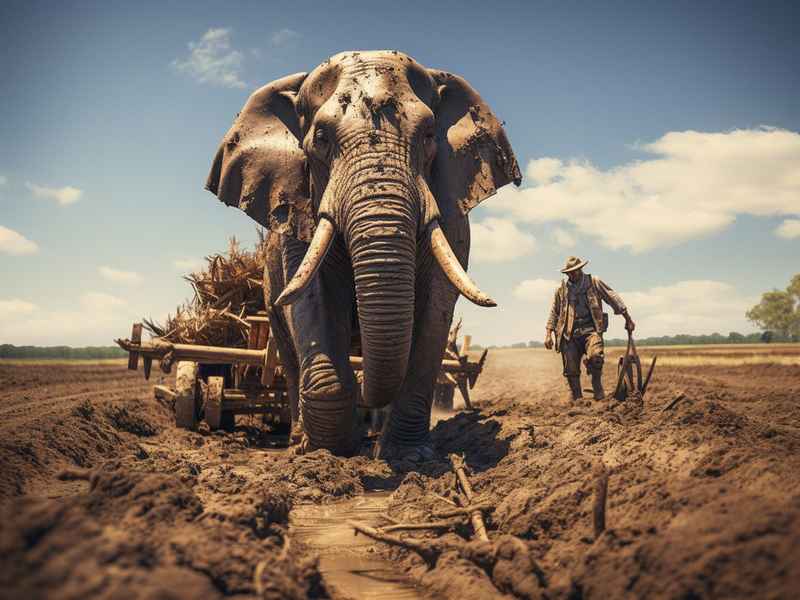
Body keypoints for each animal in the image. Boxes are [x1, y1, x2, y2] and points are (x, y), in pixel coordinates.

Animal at [205, 50, 520, 459]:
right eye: (321, 138)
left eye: (429, 135)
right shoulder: (298, 210)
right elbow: (312, 298)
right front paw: (329, 452)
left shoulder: (453, 215)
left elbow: (436, 306)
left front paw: (407, 455)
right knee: (288, 356)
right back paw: (299, 440)